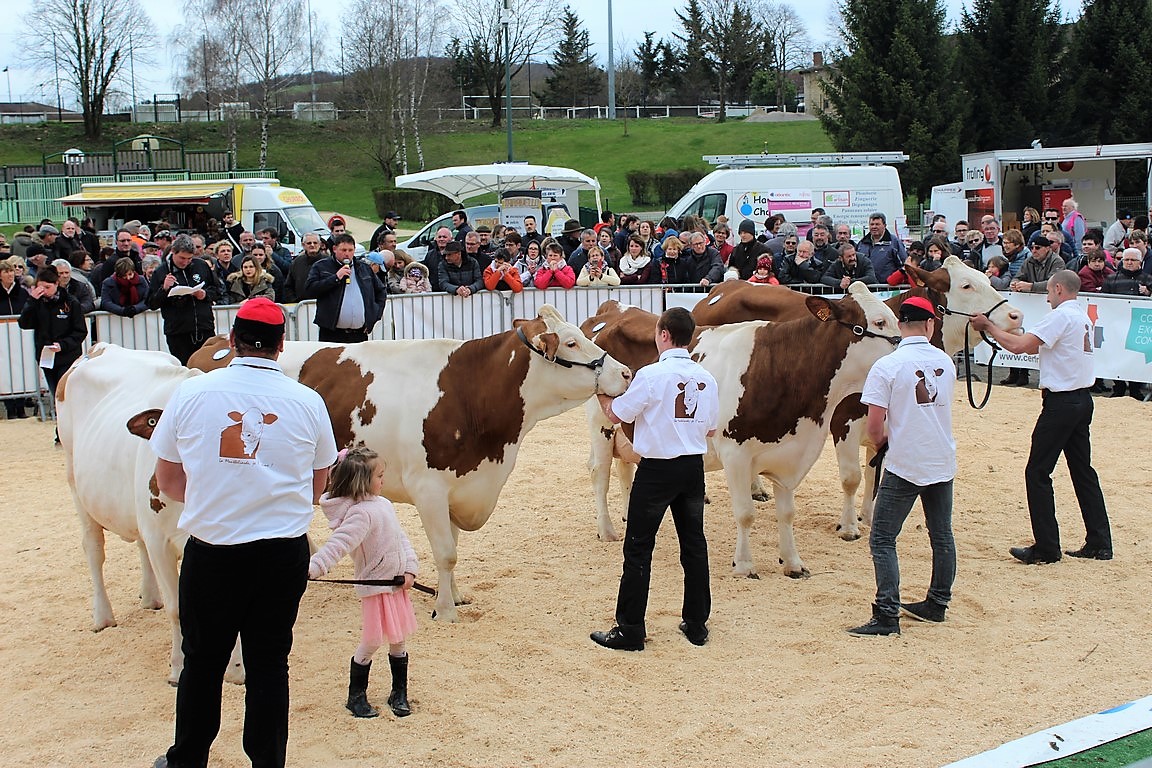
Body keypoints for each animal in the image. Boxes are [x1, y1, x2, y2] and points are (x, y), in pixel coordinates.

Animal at [187, 303, 631, 621]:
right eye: (571, 343)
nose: (626, 372)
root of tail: (212, 345)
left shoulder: (460, 485)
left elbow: (452, 548)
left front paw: (453, 596)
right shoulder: (428, 488)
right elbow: (446, 552)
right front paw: (445, 612)